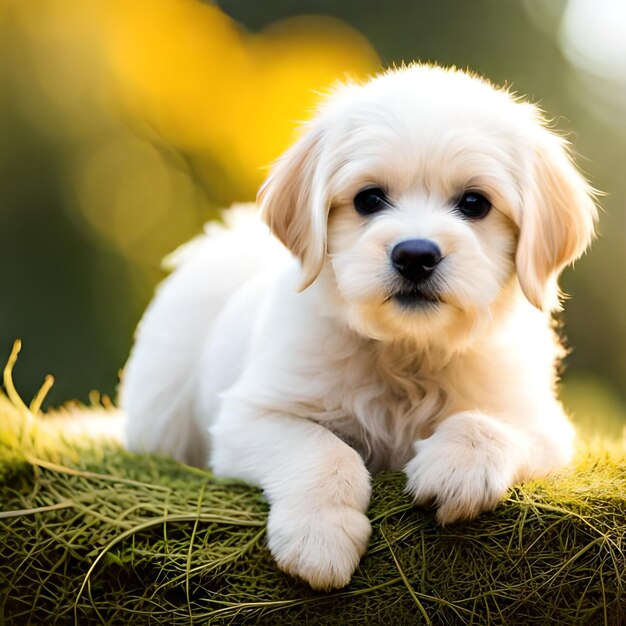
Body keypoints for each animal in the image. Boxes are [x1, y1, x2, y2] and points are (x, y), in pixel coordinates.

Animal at [120, 64, 596, 588]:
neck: (407, 353)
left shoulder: (545, 426)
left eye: (475, 203)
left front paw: (456, 469)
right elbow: (323, 451)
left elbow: (485, 424)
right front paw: (320, 538)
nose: (415, 255)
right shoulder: (250, 415)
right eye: (369, 199)